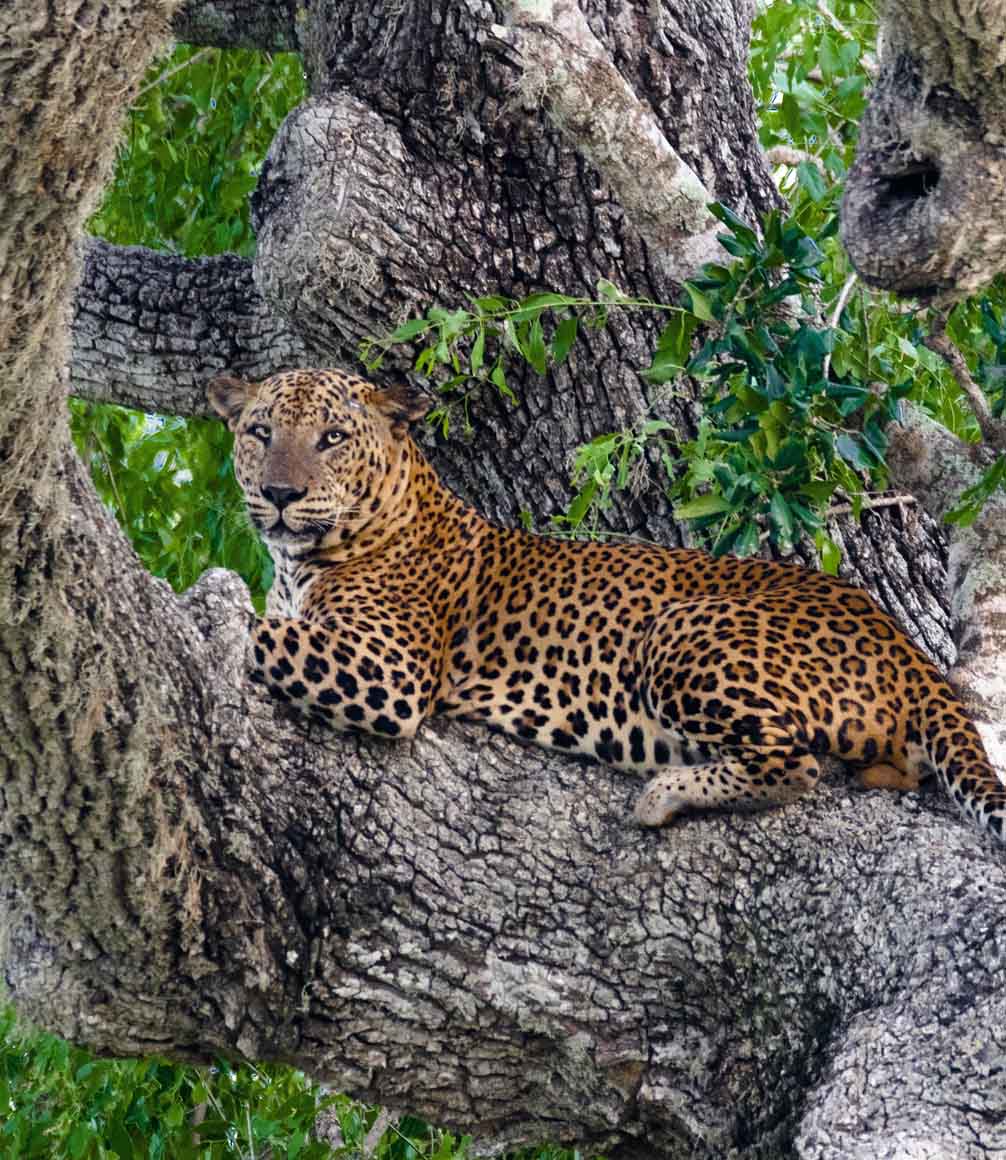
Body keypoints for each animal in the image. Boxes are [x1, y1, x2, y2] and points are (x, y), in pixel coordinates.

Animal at [208, 367, 1006, 844]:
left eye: (333, 437)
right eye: (260, 433)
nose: (279, 494)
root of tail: (899, 640)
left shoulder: (389, 671)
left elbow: (263, 631)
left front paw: (212, 604)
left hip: (681, 630)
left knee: (795, 765)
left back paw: (666, 792)